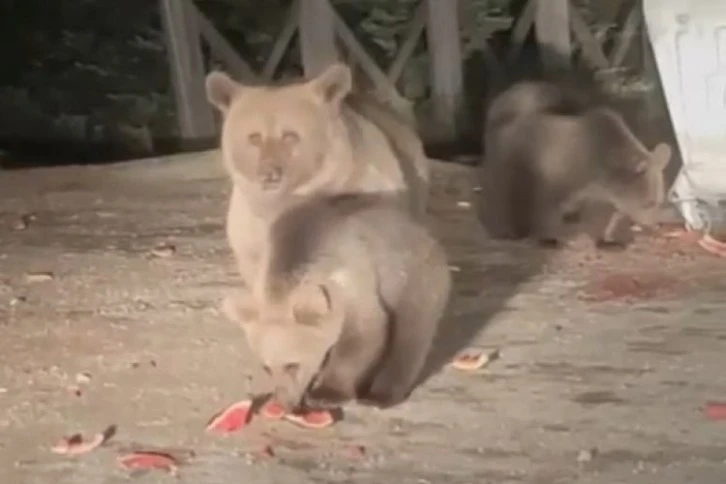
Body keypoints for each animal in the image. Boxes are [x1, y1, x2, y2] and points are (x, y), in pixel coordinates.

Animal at [222, 193, 452, 412]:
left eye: (292, 365)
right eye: (267, 367)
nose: (284, 403)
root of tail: (426, 234)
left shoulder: (352, 286)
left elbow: (364, 336)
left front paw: (326, 394)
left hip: (414, 281)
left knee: (411, 335)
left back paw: (380, 395)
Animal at [480, 81, 672, 246]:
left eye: (659, 201)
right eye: (650, 203)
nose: (654, 225)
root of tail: (502, 99)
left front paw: (608, 237)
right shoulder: (561, 173)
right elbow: (548, 208)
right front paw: (549, 238)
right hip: (510, 156)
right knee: (505, 190)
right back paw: (507, 230)